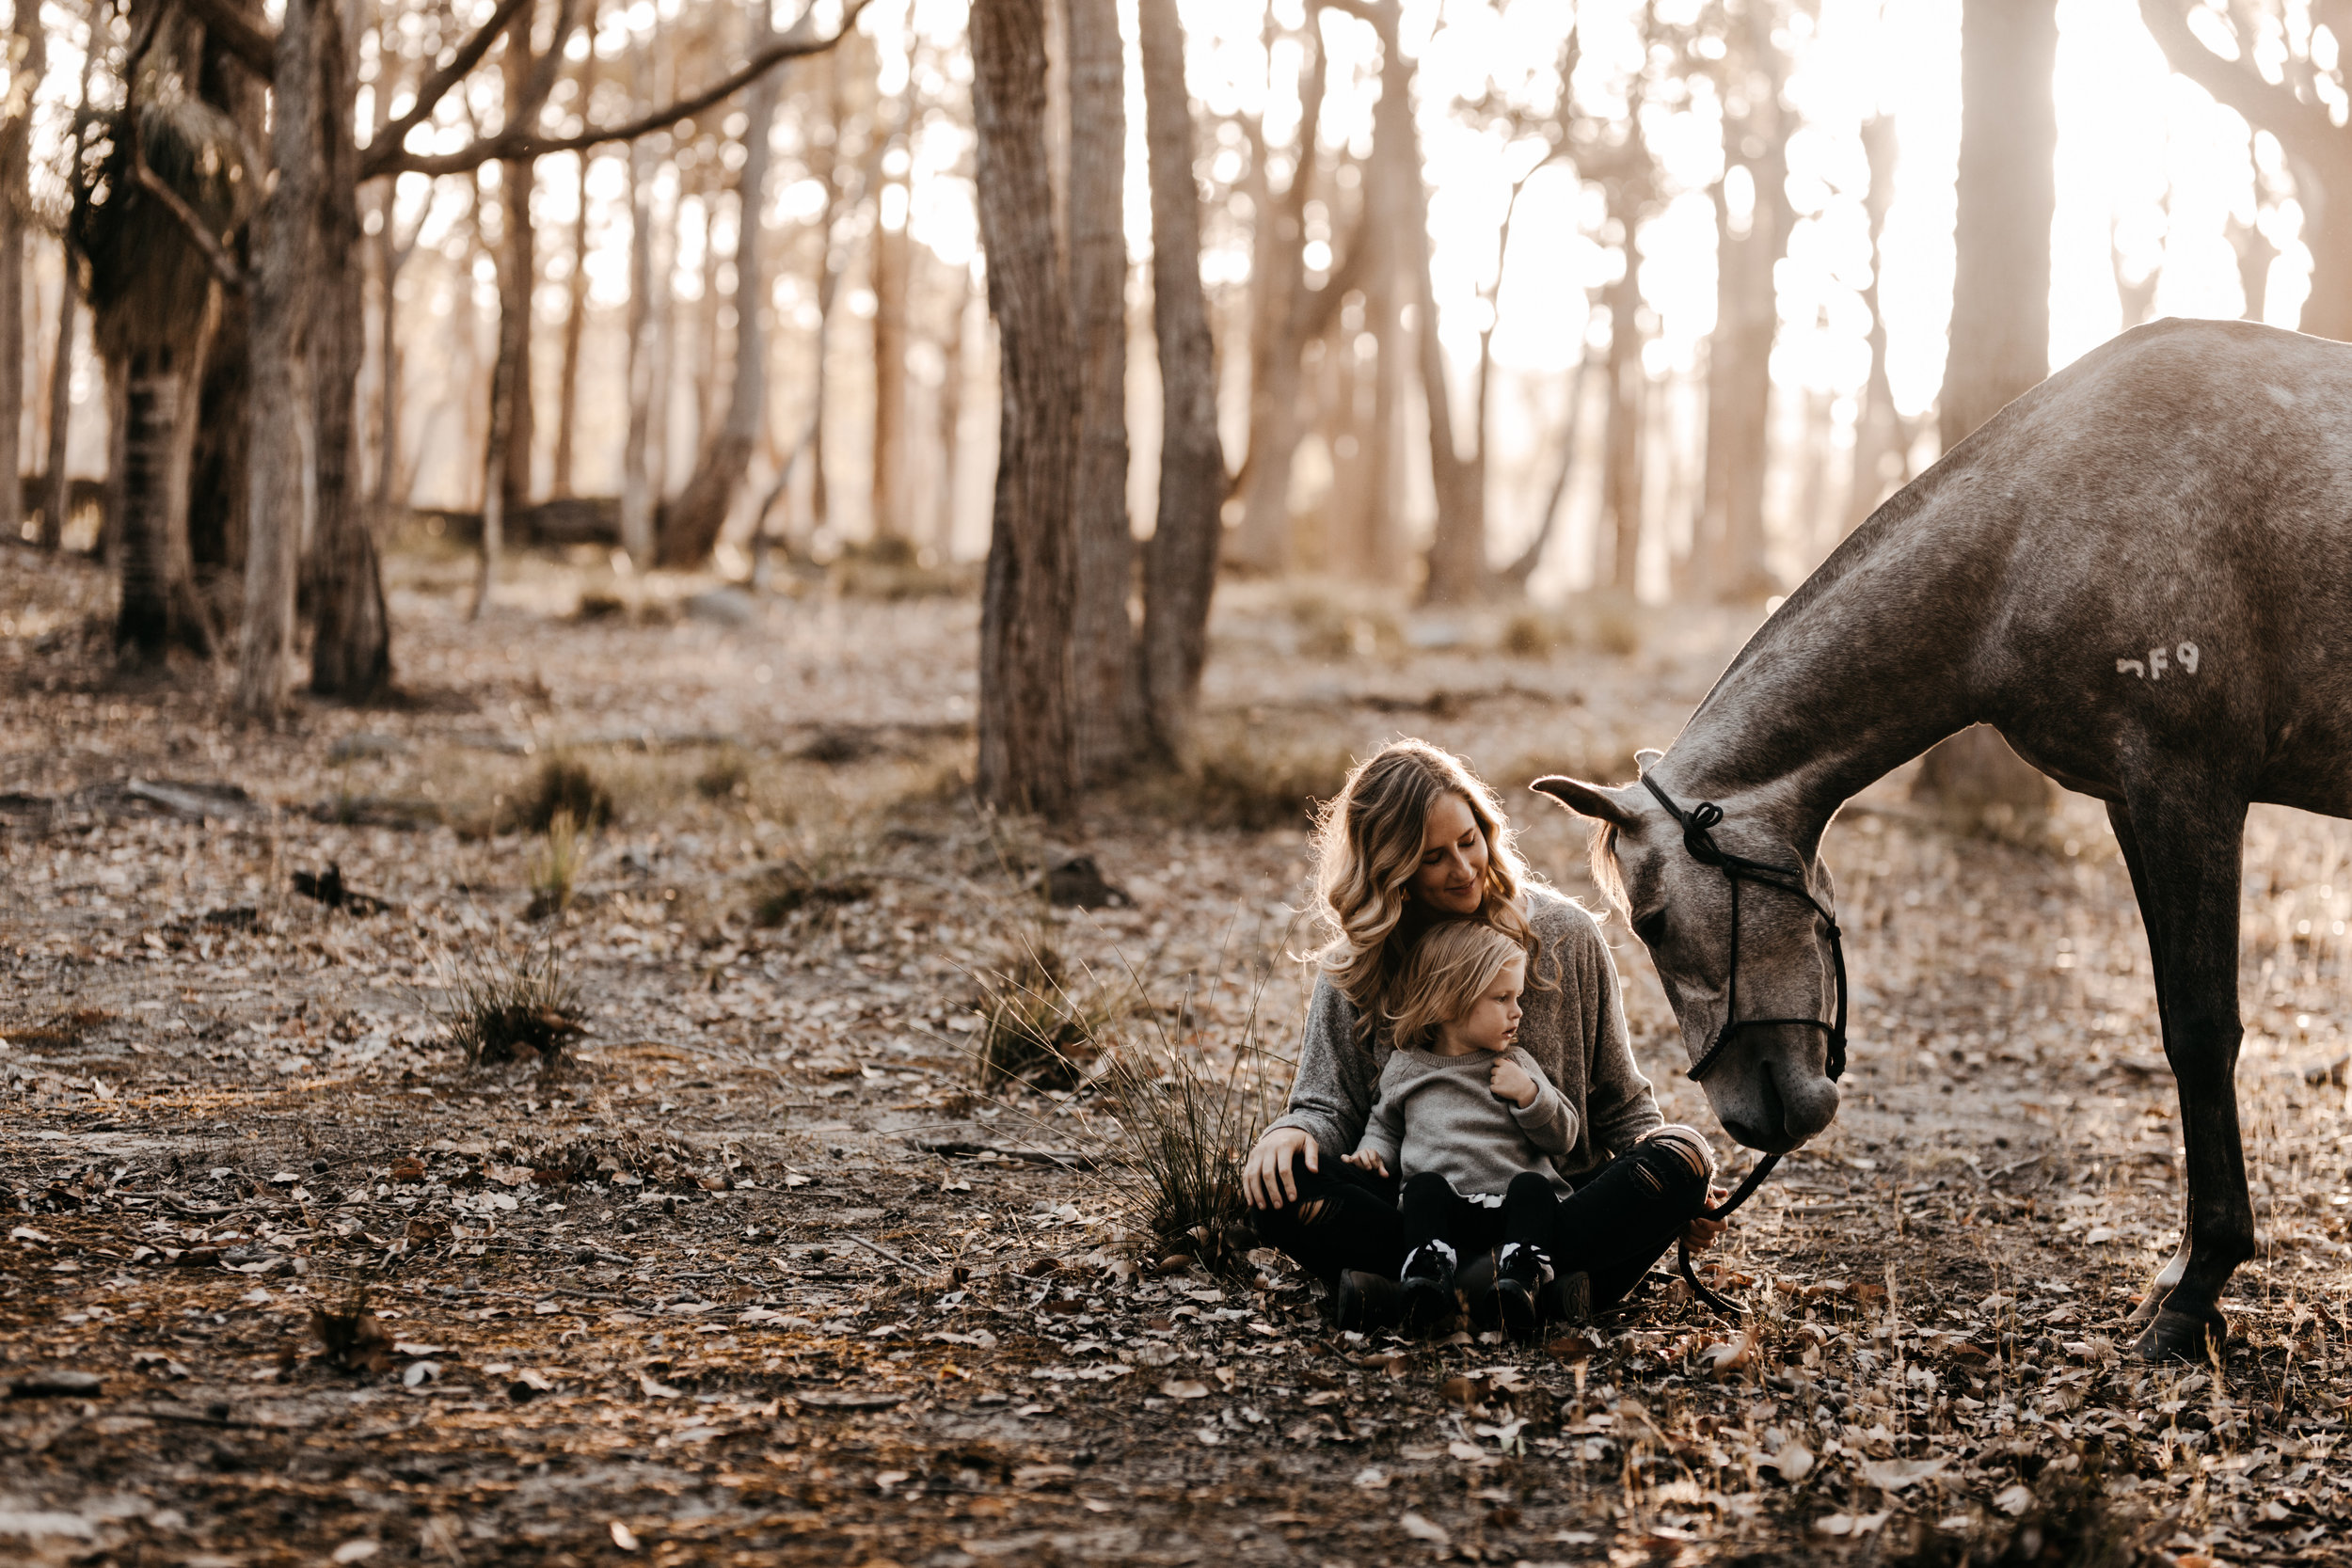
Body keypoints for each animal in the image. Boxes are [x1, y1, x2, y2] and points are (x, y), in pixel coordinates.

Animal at [1534, 314, 2343, 1363]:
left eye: (1654, 924)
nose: (1747, 1117)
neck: (2042, 519)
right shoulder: (2133, 800)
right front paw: (2182, 1275)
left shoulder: (2187, 786)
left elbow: (2201, 1033)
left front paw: (2197, 1287)